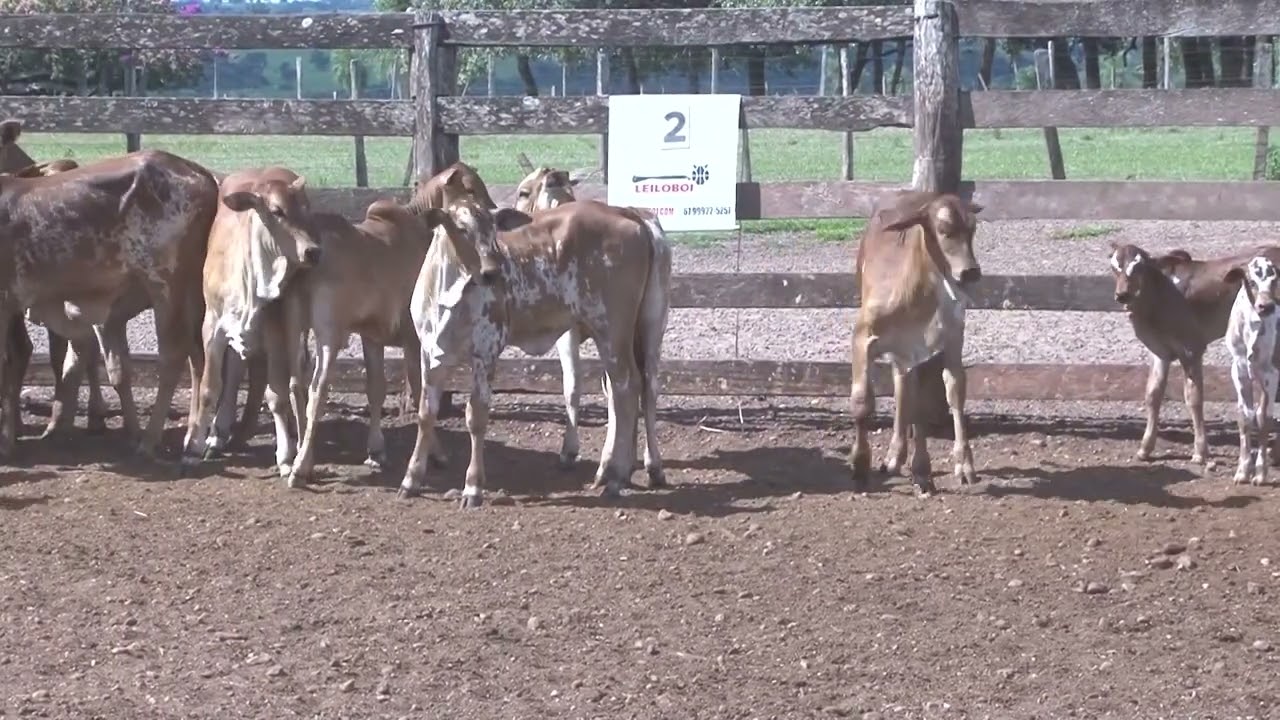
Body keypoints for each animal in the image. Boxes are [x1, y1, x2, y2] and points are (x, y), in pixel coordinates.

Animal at [0, 132, 218, 459]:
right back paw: (192, 437)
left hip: (167, 283)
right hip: (190, 290)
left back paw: (150, 440)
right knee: (197, 352)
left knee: (174, 353)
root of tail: (199, 173)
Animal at [182, 167, 321, 477]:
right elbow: (210, 388)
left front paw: (285, 457)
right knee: (235, 370)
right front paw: (194, 447)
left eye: (305, 209)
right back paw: (218, 434)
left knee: (296, 379)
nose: (312, 250)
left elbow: (277, 395)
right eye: (277, 210)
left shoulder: (275, 332)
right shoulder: (212, 327)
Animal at [398, 190, 672, 508]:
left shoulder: (485, 351)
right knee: (640, 387)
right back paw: (639, 470)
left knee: (627, 388)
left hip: (613, 329)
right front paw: (411, 479)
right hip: (647, 326)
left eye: (493, 229)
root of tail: (629, 214)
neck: (447, 294)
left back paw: (616, 477)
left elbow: (476, 416)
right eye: (461, 229)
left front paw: (473, 486)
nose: (492, 271)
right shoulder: (429, 354)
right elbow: (425, 413)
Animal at [848, 191, 983, 496]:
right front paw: (860, 466)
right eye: (944, 229)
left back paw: (961, 463)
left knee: (949, 389)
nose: (970, 271)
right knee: (901, 385)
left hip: (948, 338)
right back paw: (893, 457)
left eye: (973, 229)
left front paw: (923, 471)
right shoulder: (863, 336)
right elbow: (863, 401)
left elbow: (921, 410)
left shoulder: (930, 346)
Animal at [1107, 242, 1280, 464]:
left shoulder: (1191, 347)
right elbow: (1153, 393)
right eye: (1114, 267)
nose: (1122, 294)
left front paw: (1200, 451)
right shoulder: (1160, 351)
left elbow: (1194, 398)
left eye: (1139, 267)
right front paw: (1145, 448)